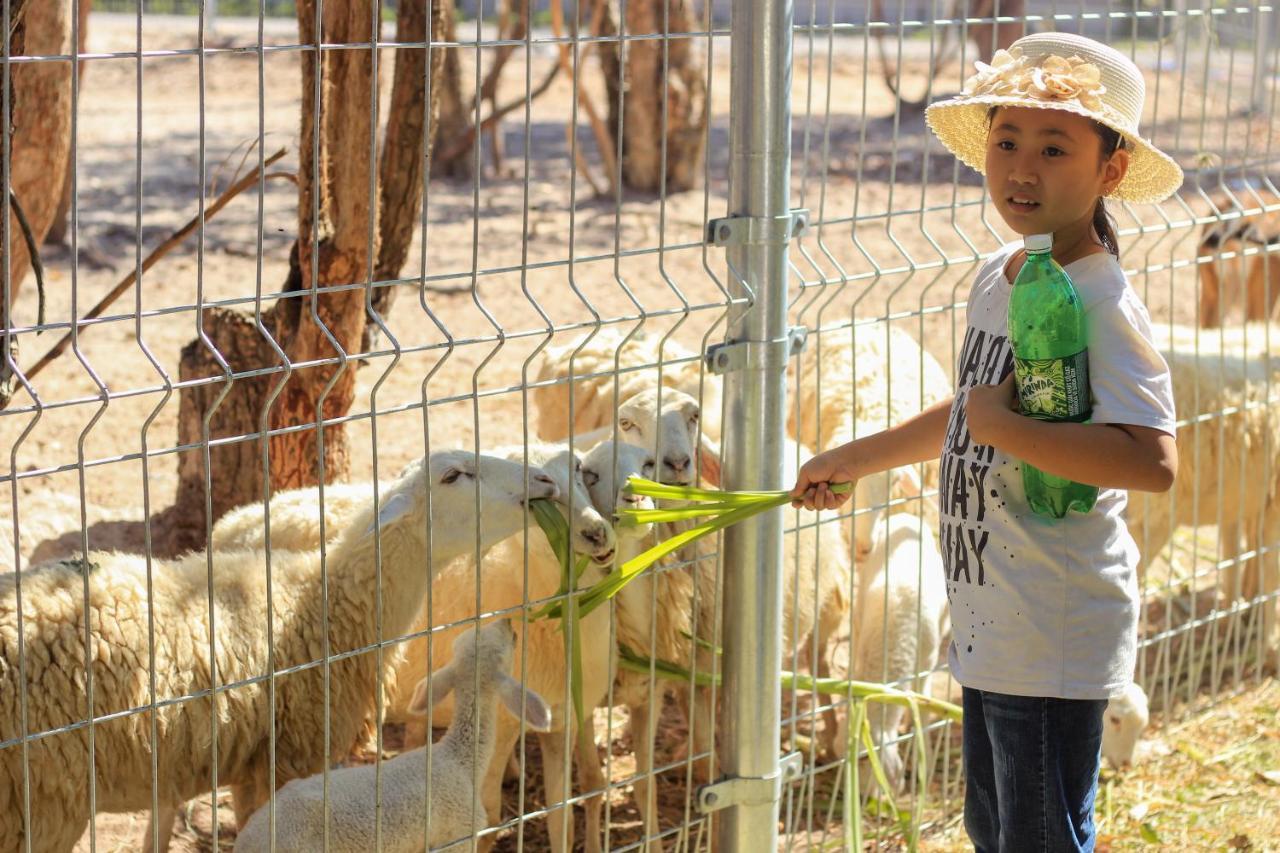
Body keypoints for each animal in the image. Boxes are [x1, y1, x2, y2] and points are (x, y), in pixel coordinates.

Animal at [839, 507, 952, 788]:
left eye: (865, 759)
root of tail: (904, 516)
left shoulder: (927, 664)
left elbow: (924, 710)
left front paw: (925, 763)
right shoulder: (859, 640)